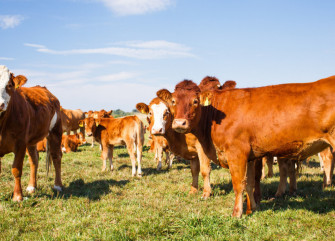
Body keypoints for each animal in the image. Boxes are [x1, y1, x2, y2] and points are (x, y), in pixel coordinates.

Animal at [0, 65, 63, 201]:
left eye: (9, 85)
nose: (0, 104)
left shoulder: (20, 143)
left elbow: (17, 169)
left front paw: (18, 196)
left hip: (55, 131)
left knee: (56, 156)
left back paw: (58, 185)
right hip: (31, 140)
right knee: (34, 160)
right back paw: (32, 187)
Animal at [158, 76, 335, 217]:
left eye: (195, 101)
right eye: (173, 101)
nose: (179, 123)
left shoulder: (236, 153)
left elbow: (238, 184)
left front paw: (237, 213)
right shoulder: (250, 157)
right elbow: (249, 183)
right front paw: (252, 209)